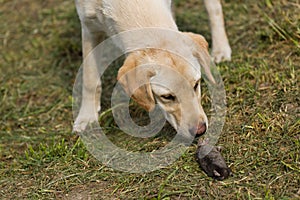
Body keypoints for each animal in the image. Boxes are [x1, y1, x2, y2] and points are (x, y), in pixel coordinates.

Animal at [73, 0, 232, 138]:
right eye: (167, 97)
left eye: (196, 85)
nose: (200, 131)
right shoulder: (88, 27)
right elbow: (89, 79)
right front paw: (86, 117)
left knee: (214, 9)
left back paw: (221, 49)